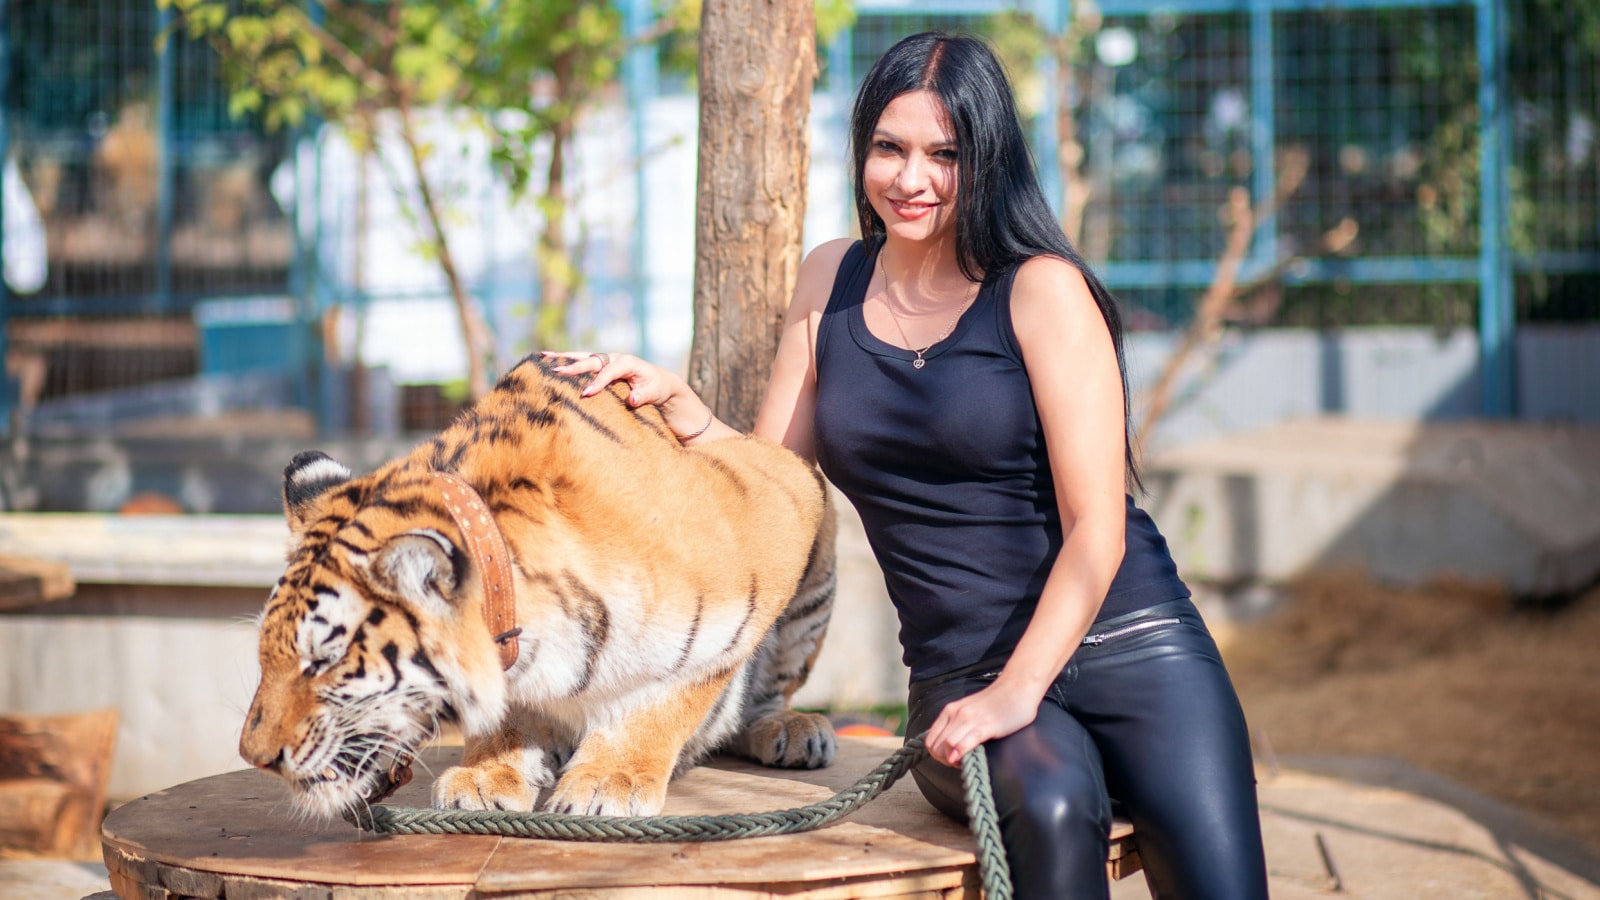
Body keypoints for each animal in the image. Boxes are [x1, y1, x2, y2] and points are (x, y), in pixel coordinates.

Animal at [240, 353, 838, 816]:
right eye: (264, 656)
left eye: (324, 661)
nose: (254, 757)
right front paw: (487, 775)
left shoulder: (770, 502)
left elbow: (670, 697)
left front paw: (610, 782)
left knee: (767, 693)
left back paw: (792, 730)